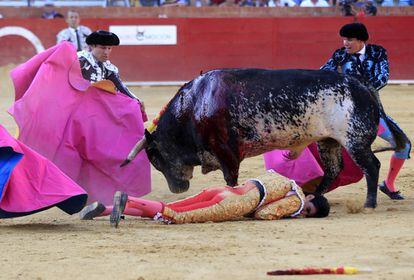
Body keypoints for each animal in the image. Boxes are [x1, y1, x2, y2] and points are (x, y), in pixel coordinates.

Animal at [123, 69, 408, 209]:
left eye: (155, 159)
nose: (177, 189)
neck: (196, 104)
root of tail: (363, 86)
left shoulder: (226, 151)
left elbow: (231, 178)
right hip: (329, 141)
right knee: (333, 170)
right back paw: (314, 195)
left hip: (354, 140)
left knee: (371, 166)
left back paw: (369, 203)